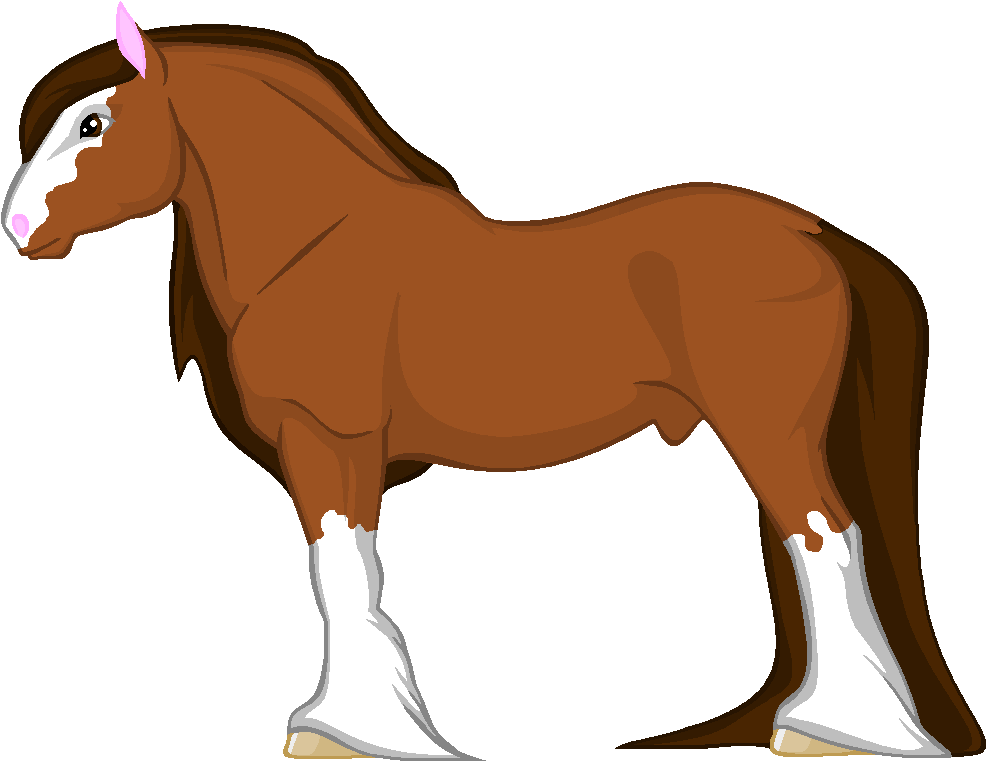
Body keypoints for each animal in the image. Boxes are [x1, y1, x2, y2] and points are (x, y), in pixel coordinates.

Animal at [4, 4, 981, 759]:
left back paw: (832, 729)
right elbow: (346, 571)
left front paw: (351, 732)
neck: (317, 246)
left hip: (767, 428)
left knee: (825, 541)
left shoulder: (331, 439)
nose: (16, 226)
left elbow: (340, 568)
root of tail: (813, 232)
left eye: (93, 125)